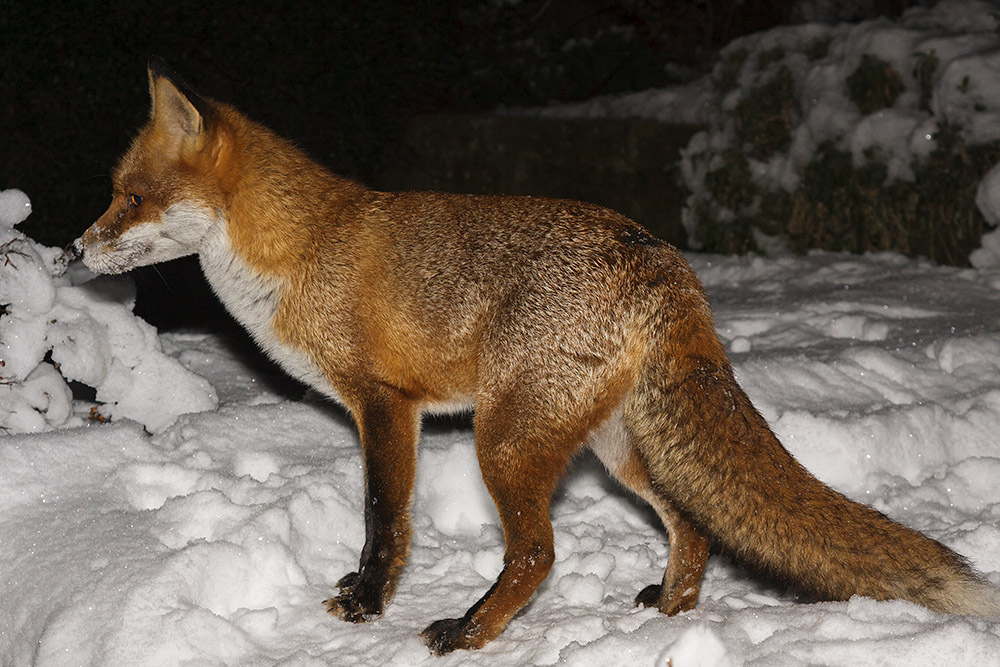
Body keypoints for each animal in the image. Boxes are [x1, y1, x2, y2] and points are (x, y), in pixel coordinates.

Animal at [77, 58, 1000, 654]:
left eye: (131, 197)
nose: (76, 248)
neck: (300, 252)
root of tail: (660, 256)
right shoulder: (395, 410)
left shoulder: (385, 402)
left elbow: (384, 517)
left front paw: (370, 603)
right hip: (618, 448)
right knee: (694, 525)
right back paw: (670, 610)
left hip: (506, 439)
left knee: (538, 552)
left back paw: (470, 630)